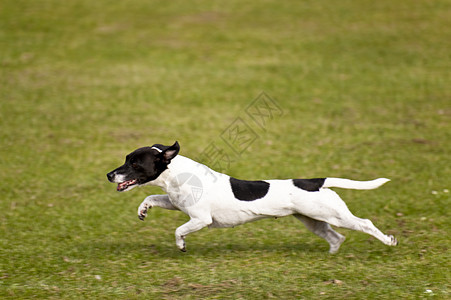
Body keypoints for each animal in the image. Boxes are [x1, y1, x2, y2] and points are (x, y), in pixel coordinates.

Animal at [107, 142, 400, 252]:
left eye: (135, 163)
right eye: (126, 158)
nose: (110, 175)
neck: (178, 175)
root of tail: (316, 182)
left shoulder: (200, 219)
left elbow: (179, 230)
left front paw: (181, 245)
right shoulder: (176, 204)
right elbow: (152, 197)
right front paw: (143, 210)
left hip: (334, 215)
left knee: (364, 224)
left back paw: (389, 240)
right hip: (313, 220)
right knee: (336, 237)